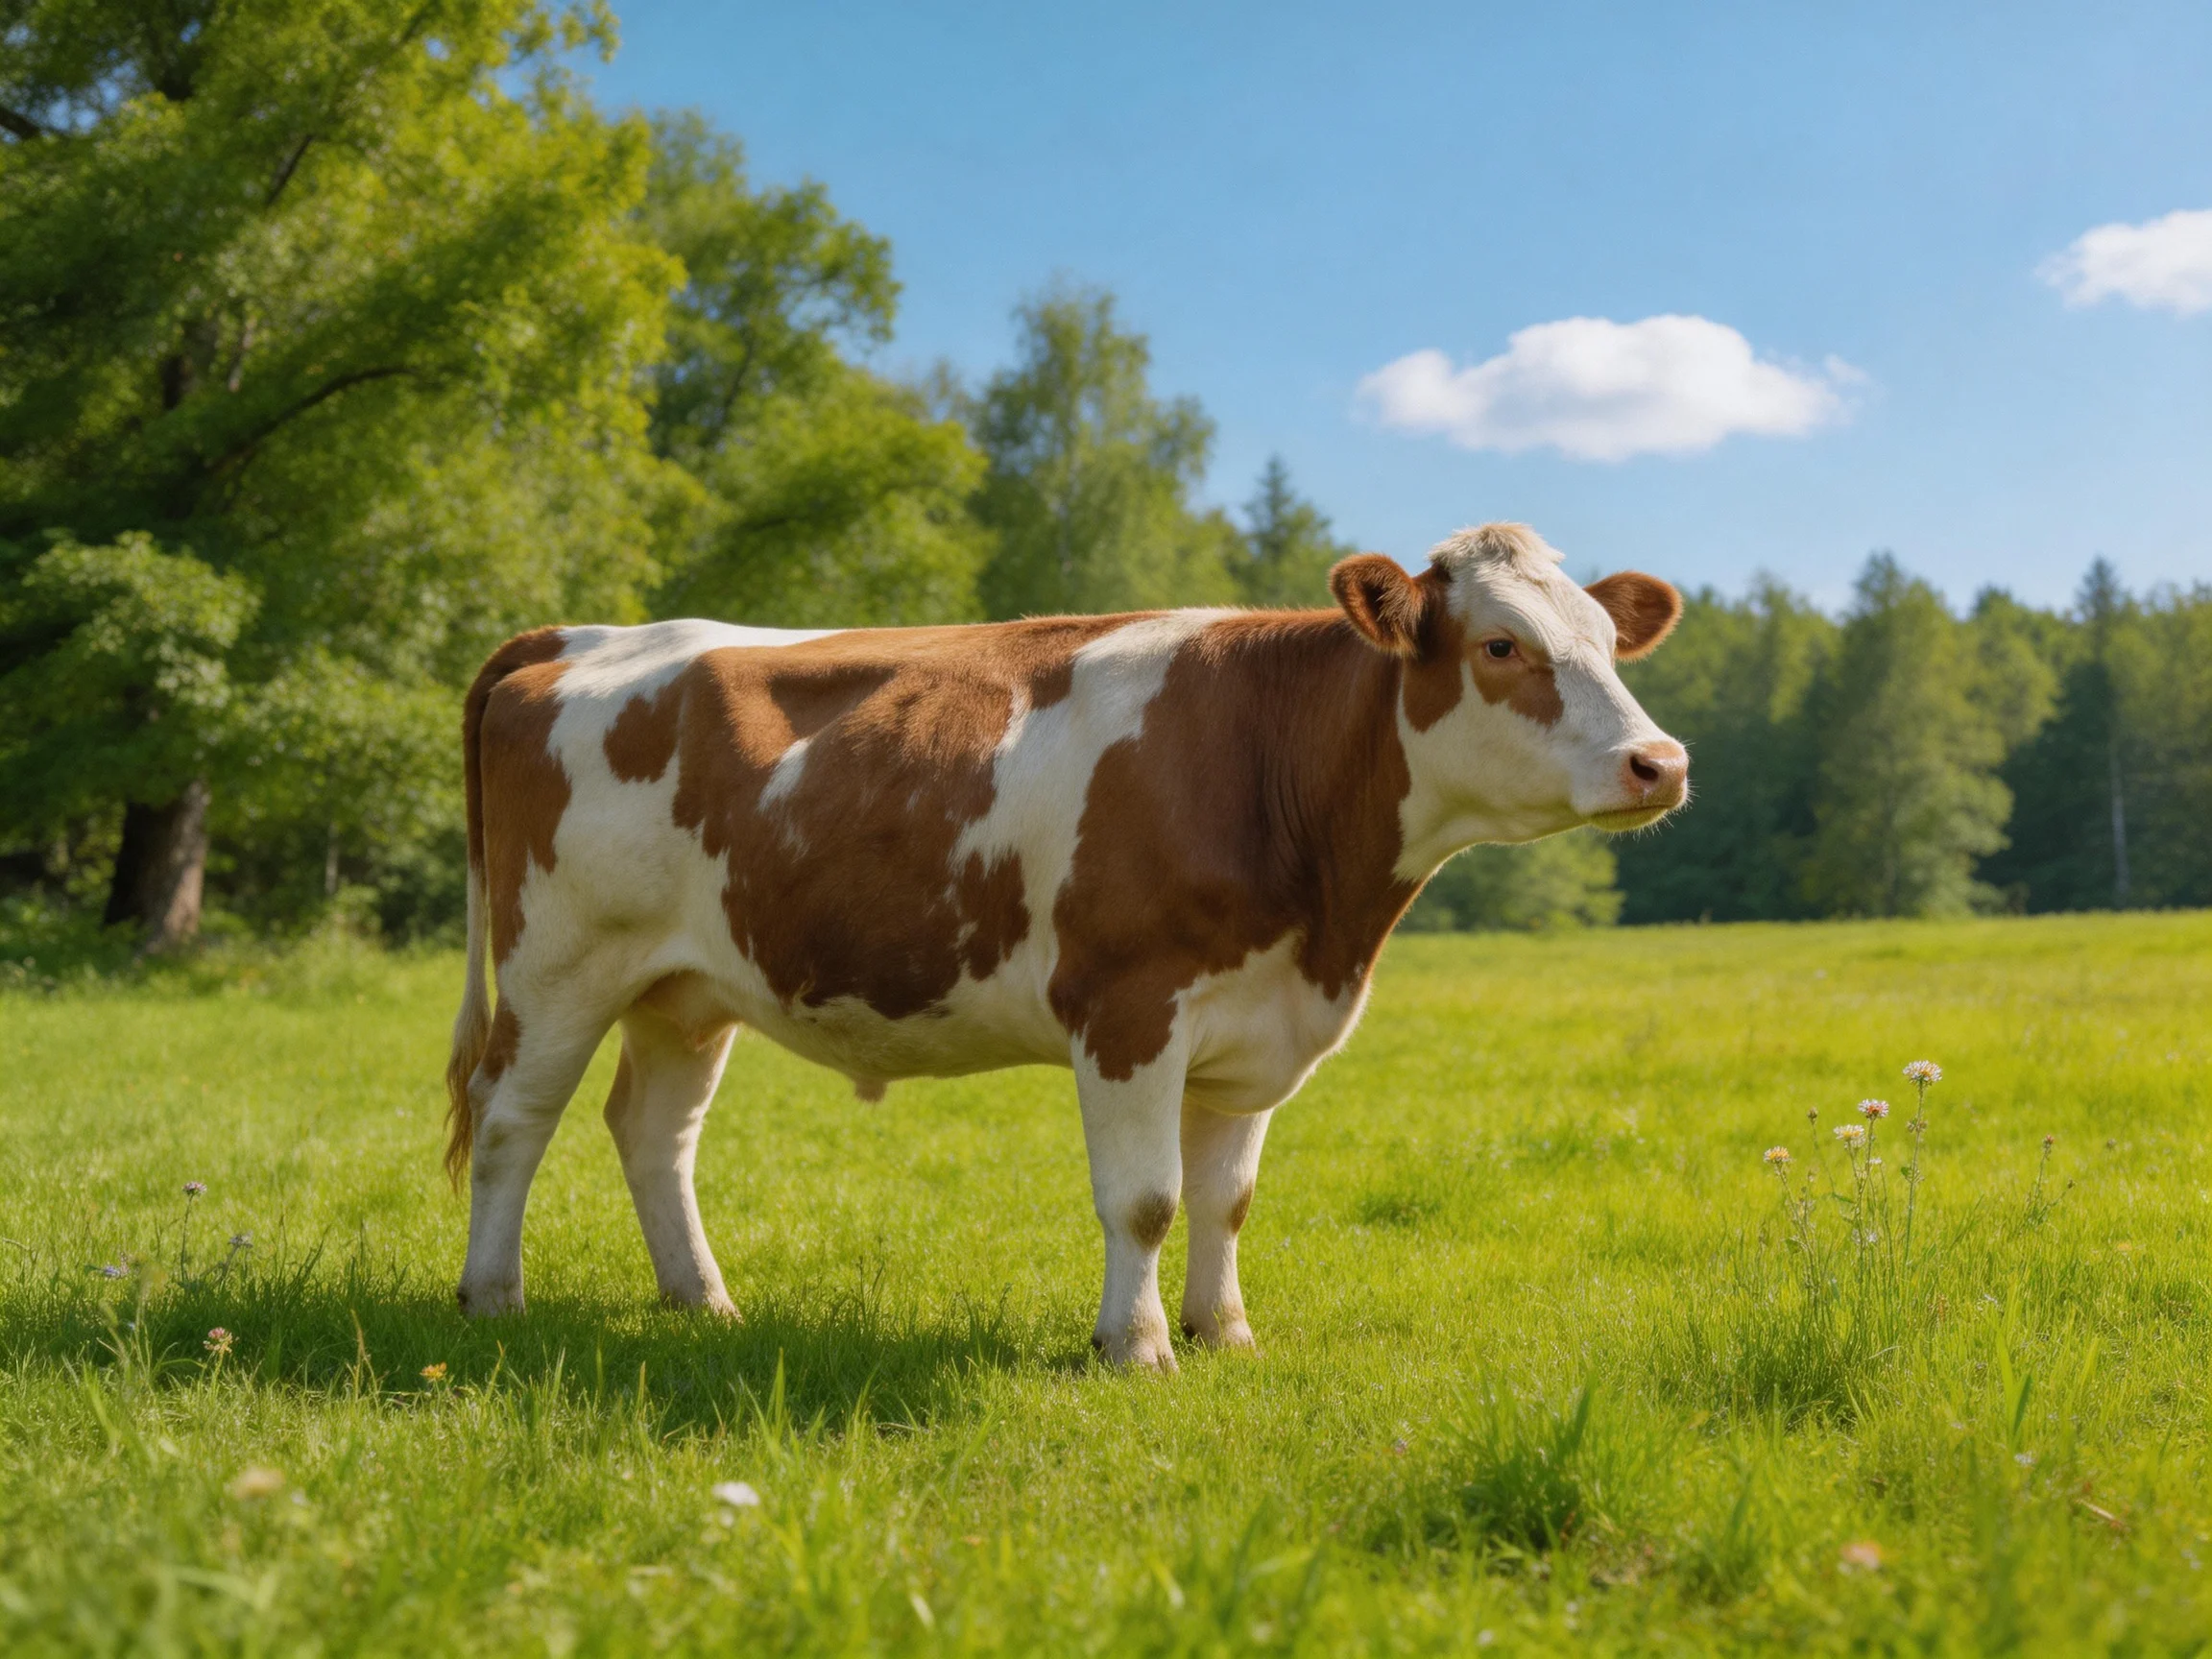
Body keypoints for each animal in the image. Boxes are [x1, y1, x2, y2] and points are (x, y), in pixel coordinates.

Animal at [443, 522, 1687, 1370]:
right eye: (1500, 644)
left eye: (1607, 643)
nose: (1660, 762)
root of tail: (588, 636)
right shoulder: (1129, 1008)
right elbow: (1145, 1198)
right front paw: (1135, 1348)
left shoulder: (1252, 1028)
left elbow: (1225, 1198)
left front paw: (1224, 1333)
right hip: (560, 965)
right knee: (512, 1118)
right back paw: (492, 1296)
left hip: (686, 987)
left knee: (654, 1131)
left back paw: (701, 1301)